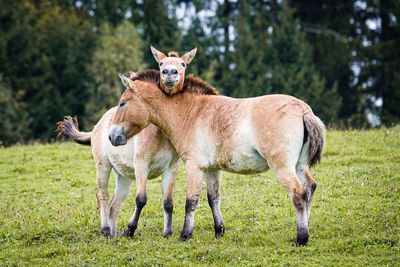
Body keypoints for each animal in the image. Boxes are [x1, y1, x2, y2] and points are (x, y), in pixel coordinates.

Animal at [56, 46, 205, 239]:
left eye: (182, 64)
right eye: (161, 64)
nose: (170, 74)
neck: (159, 133)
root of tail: (99, 123)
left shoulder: (171, 168)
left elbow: (168, 202)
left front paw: (168, 232)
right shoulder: (141, 164)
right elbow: (141, 199)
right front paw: (130, 229)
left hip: (124, 176)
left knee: (115, 204)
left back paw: (112, 234)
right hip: (103, 166)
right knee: (102, 195)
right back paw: (105, 230)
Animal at [108, 74, 324, 247]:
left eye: (122, 103)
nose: (112, 136)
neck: (189, 113)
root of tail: (303, 110)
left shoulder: (194, 167)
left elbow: (191, 201)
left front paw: (185, 234)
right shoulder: (212, 169)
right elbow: (213, 199)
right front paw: (219, 230)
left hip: (283, 167)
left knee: (298, 194)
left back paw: (301, 238)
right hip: (299, 166)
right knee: (309, 188)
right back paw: (306, 228)